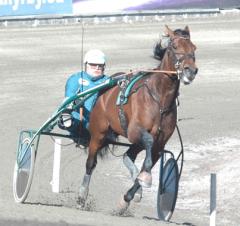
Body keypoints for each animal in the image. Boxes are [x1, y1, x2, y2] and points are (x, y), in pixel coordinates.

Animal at [77, 24, 197, 212]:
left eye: (194, 48)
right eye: (175, 46)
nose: (190, 71)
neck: (159, 100)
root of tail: (103, 91)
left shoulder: (160, 144)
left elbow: (146, 163)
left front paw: (127, 198)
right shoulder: (135, 131)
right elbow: (148, 142)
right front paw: (145, 178)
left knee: (128, 156)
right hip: (98, 134)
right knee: (91, 163)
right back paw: (82, 195)